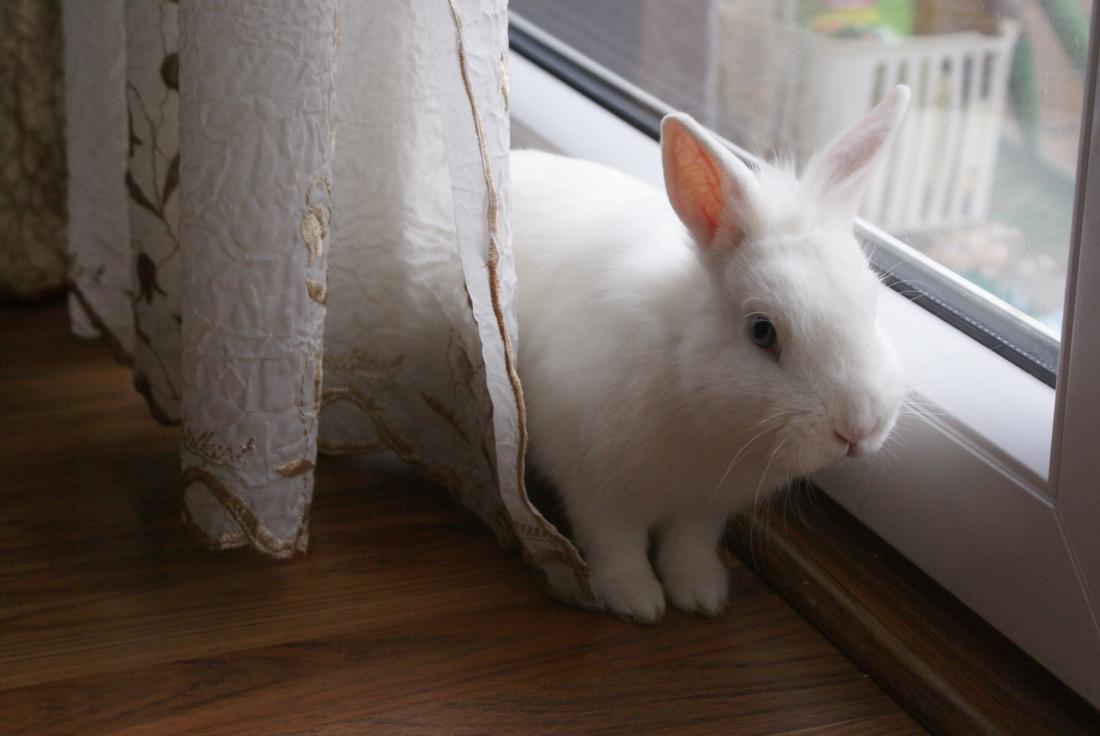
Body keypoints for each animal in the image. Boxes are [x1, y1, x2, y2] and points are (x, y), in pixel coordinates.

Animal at [510, 85, 911, 623]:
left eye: (872, 305)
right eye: (762, 331)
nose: (858, 429)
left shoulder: (705, 505)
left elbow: (689, 547)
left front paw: (701, 596)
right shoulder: (597, 483)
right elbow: (615, 544)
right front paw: (636, 602)